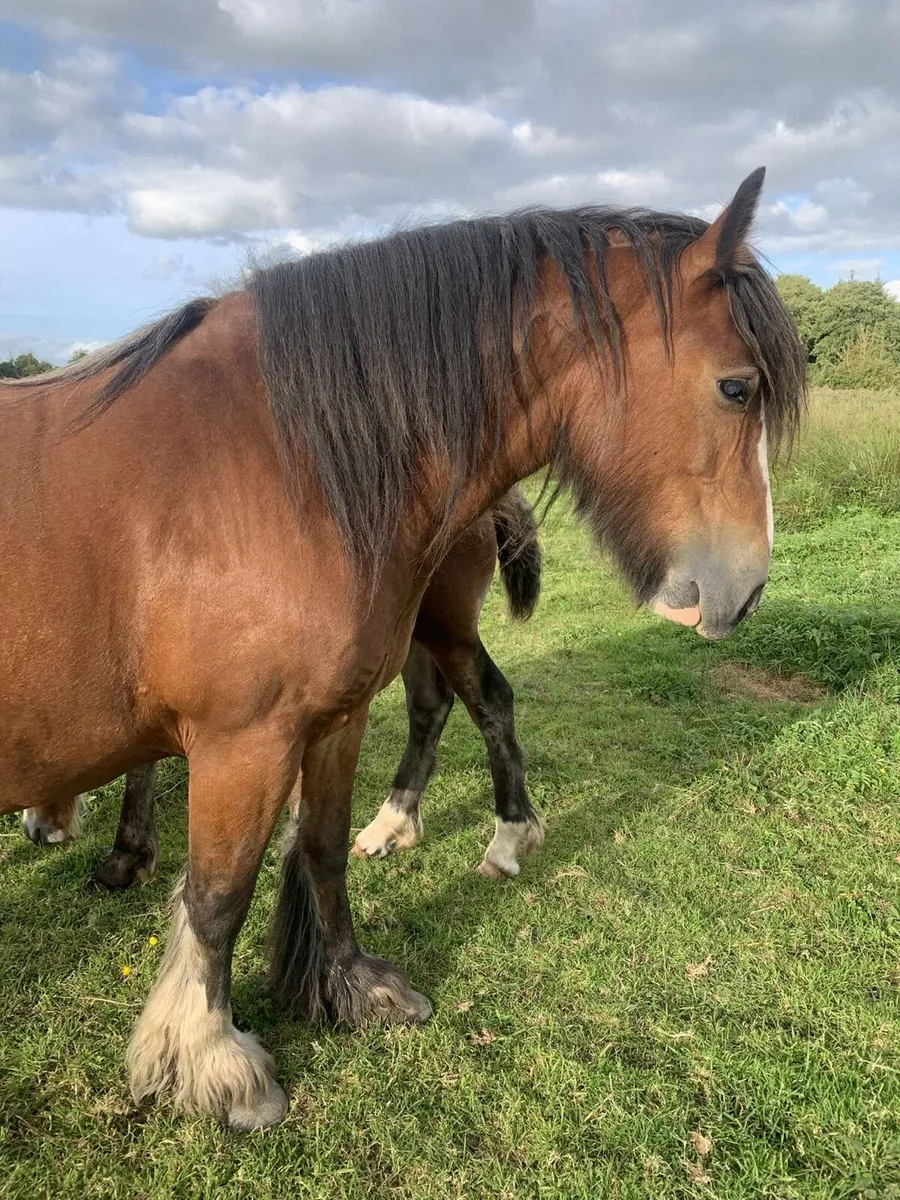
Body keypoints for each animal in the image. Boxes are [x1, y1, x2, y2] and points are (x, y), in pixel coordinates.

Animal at [21, 489, 544, 881]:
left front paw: (127, 854)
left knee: (491, 701)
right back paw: (389, 827)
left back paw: (505, 843)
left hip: (445, 627)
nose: (35, 829)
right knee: (429, 706)